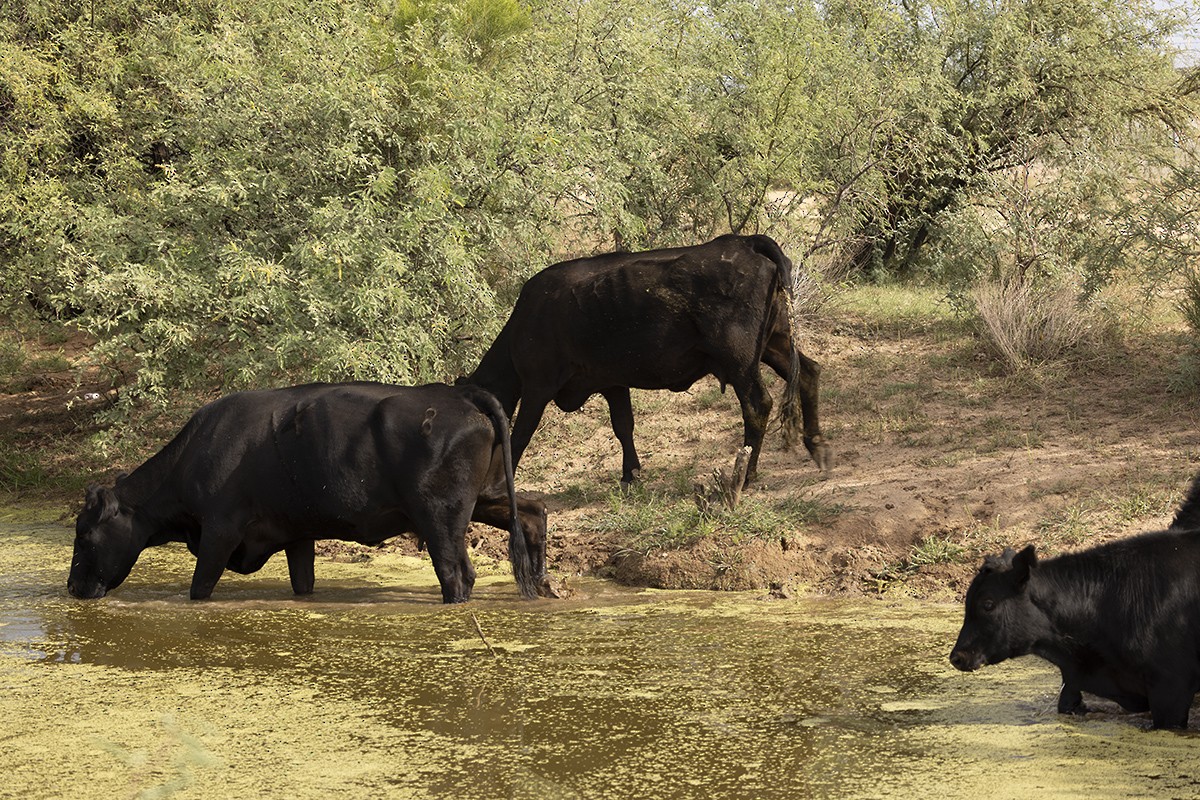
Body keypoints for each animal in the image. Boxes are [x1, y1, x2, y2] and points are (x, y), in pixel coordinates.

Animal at [67, 382, 552, 604]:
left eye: (84, 534)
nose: (72, 586)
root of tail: (461, 393)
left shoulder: (220, 530)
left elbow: (200, 587)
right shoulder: (296, 533)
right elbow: (303, 582)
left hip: (440, 516)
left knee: (457, 574)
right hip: (487, 496)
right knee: (532, 511)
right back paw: (543, 587)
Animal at [464, 234, 831, 486]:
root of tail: (745, 241)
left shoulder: (537, 386)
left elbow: (519, 435)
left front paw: (499, 483)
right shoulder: (612, 382)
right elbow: (623, 425)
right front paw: (631, 474)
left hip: (739, 359)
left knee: (757, 404)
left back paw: (745, 474)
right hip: (776, 342)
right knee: (808, 372)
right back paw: (818, 449)